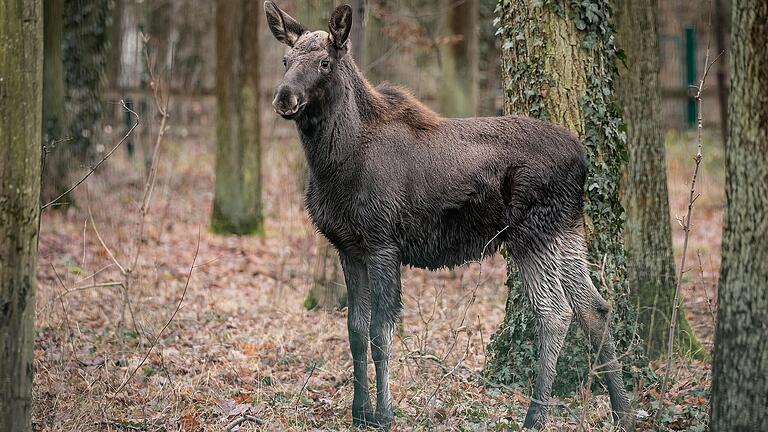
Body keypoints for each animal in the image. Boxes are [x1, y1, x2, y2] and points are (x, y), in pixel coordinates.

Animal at [264, 2, 636, 428]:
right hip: (566, 229)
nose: (284, 97)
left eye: (325, 62)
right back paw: (623, 412)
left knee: (555, 313)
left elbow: (380, 333)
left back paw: (535, 417)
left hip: (532, 234)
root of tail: (583, 159)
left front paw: (384, 415)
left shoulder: (382, 244)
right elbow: (354, 331)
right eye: (285, 60)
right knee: (594, 307)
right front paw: (359, 413)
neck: (334, 163)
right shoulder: (348, 247)